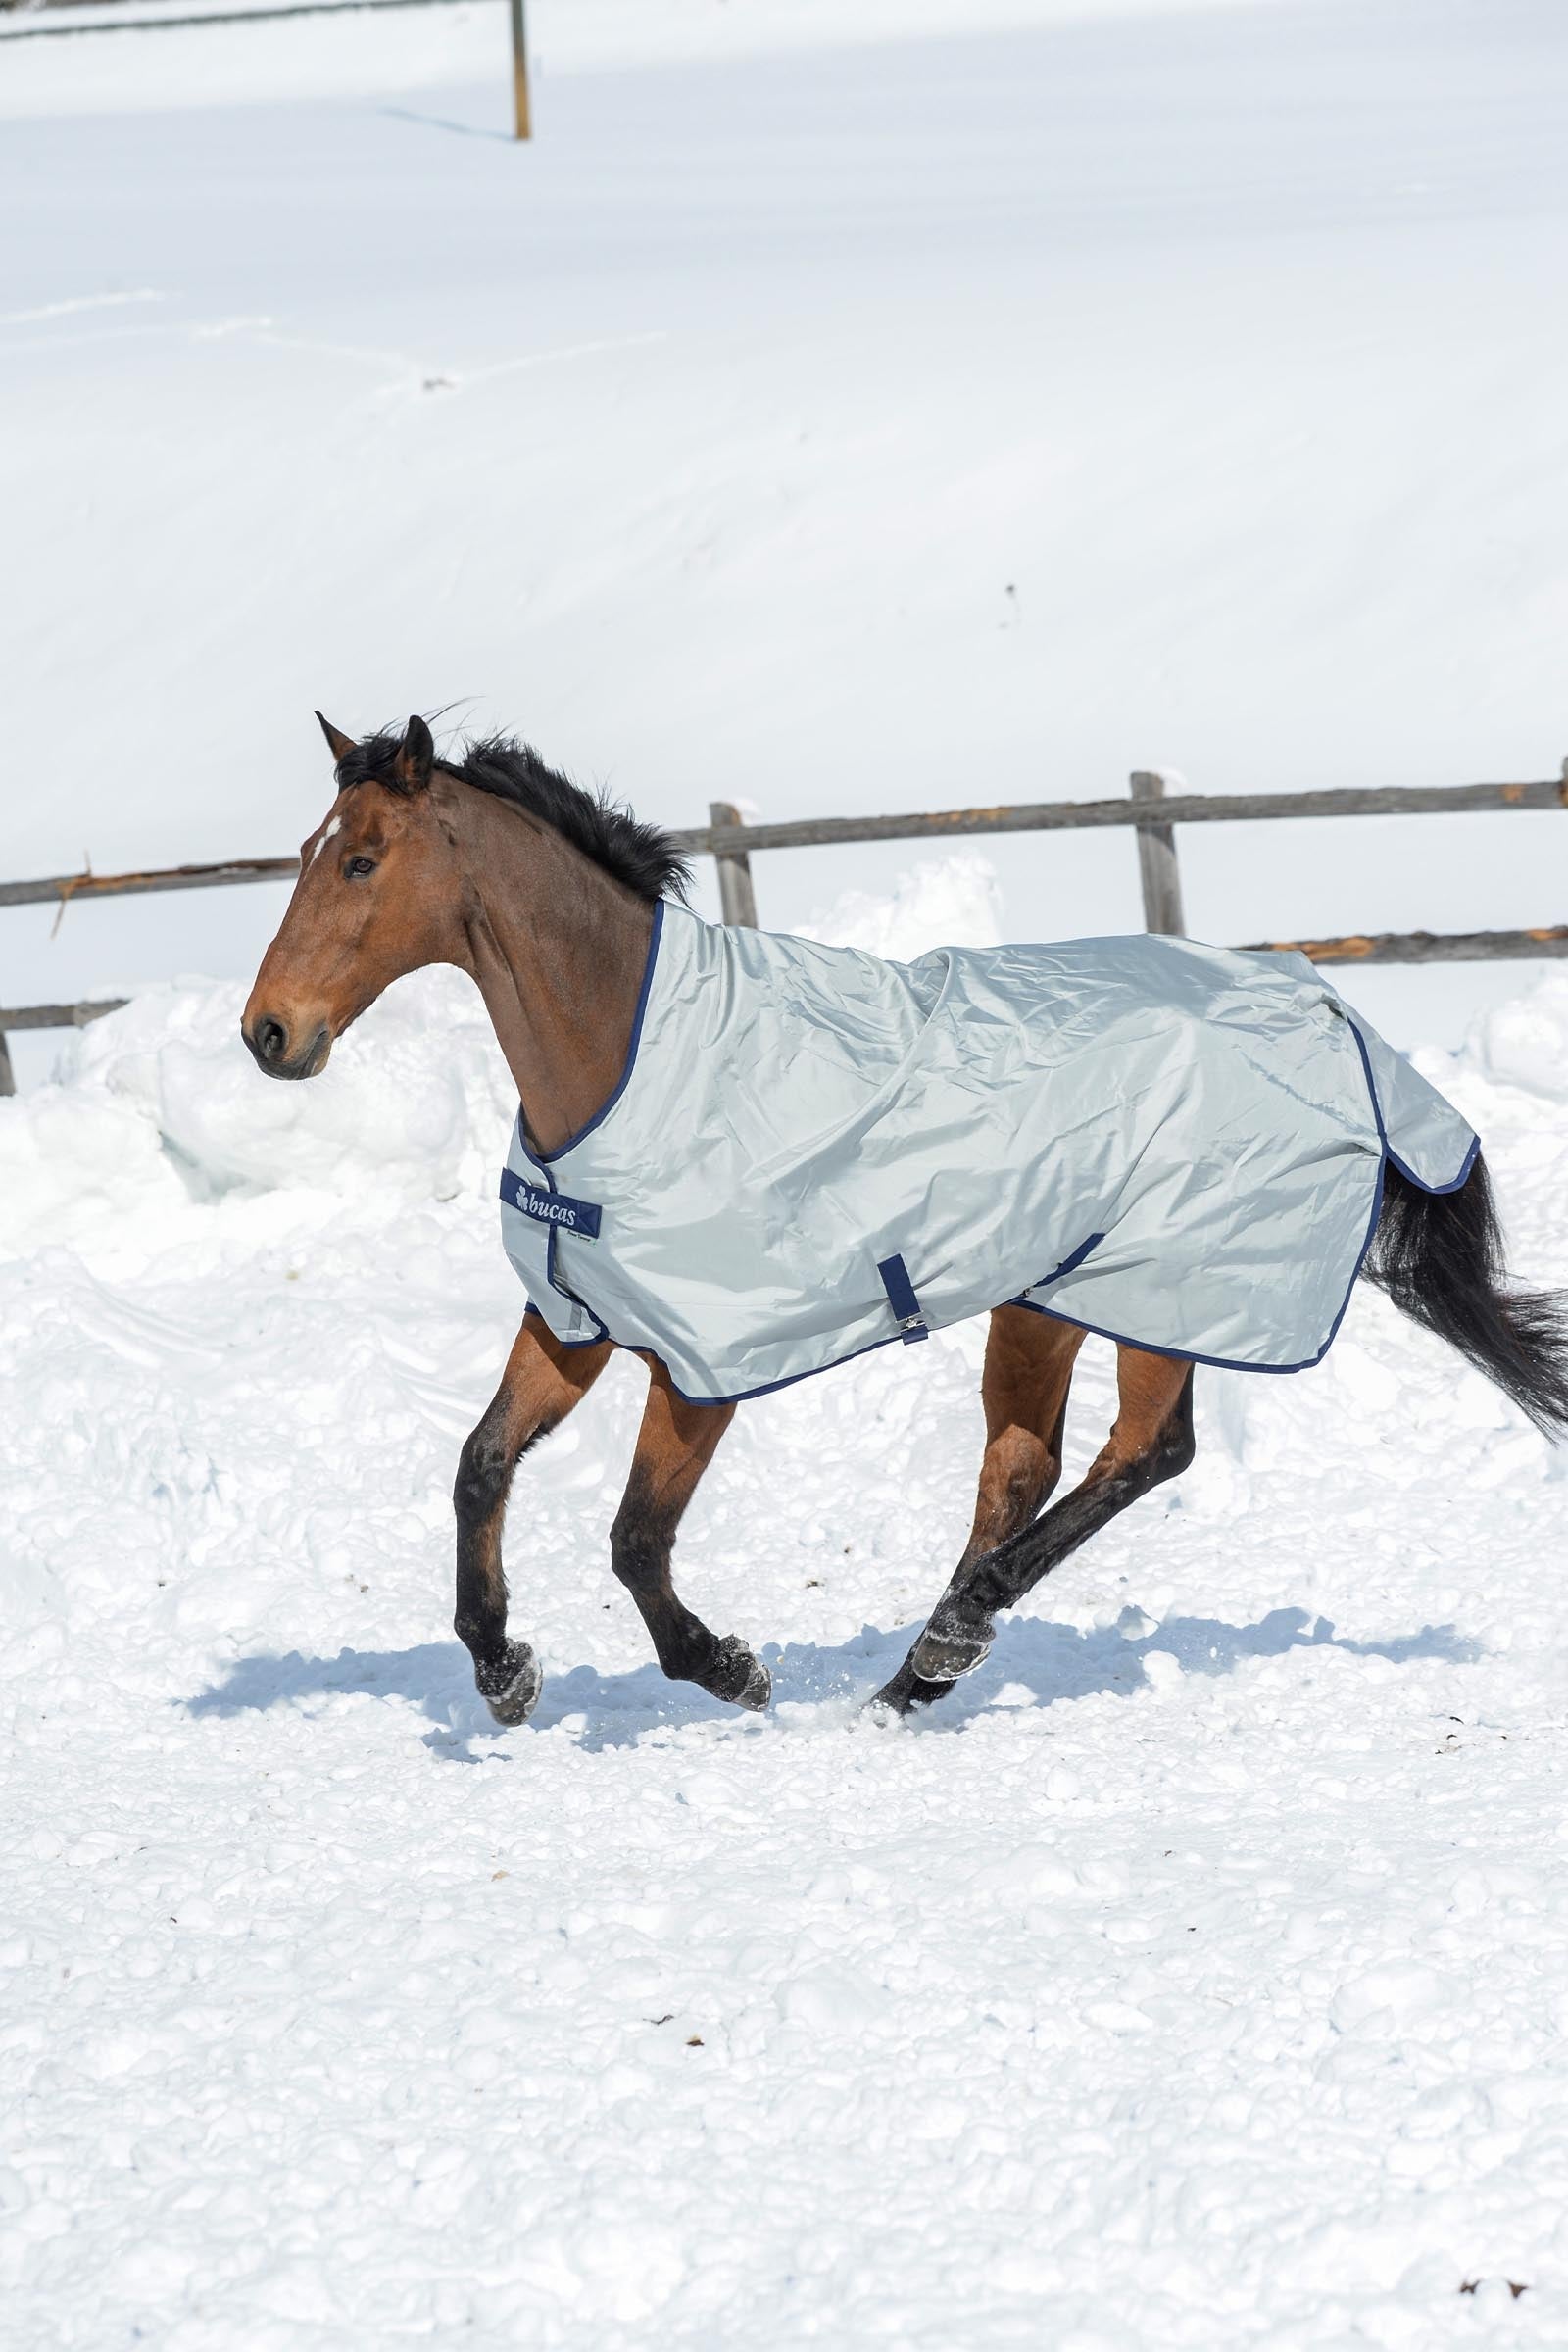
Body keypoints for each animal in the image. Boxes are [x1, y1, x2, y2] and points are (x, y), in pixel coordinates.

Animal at [242, 713, 1568, 1726]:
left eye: (361, 861)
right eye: (307, 850)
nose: (269, 1033)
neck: (624, 1060)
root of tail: (1329, 1010)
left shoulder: (705, 1360)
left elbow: (633, 1538)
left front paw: (728, 1669)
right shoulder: (578, 1319)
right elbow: (478, 1468)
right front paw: (502, 1670)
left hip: (1168, 1288)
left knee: (1148, 1453)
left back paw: (948, 1639)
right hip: (1046, 1294)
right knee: (1023, 1466)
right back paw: (916, 1672)